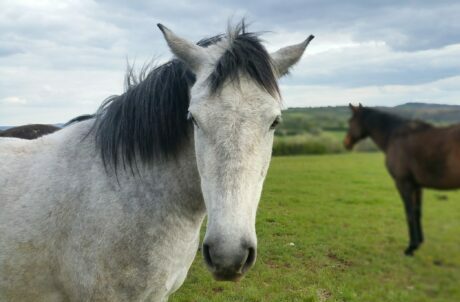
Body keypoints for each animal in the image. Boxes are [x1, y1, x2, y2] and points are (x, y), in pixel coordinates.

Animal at [344, 104, 460, 255]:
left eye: (350, 122)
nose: (345, 143)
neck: (393, 137)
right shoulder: (417, 186)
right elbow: (417, 212)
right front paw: (419, 242)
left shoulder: (403, 184)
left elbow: (409, 213)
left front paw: (411, 247)